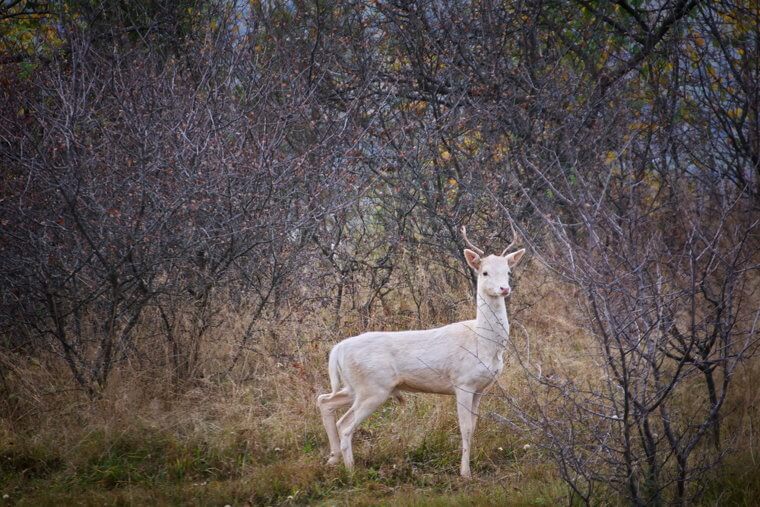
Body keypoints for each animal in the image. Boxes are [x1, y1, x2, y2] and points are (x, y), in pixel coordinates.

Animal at [316, 225, 526, 478]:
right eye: (484, 272)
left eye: (508, 271)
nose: (504, 288)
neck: (482, 342)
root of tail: (338, 349)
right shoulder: (462, 382)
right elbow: (465, 428)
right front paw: (465, 473)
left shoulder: (480, 388)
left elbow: (474, 426)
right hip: (372, 388)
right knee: (345, 425)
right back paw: (351, 471)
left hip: (356, 386)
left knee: (325, 402)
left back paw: (333, 459)